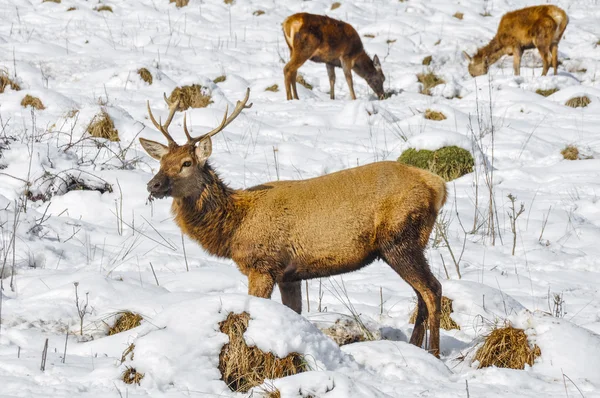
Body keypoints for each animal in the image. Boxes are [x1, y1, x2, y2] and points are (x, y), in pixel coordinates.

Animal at [137, 88, 446, 356]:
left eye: (187, 163)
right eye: (162, 161)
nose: (153, 185)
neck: (234, 226)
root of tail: (438, 186)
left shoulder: (263, 264)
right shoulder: (290, 275)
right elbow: (295, 313)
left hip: (400, 238)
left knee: (432, 290)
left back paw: (434, 353)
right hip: (412, 241)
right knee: (421, 294)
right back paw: (416, 348)